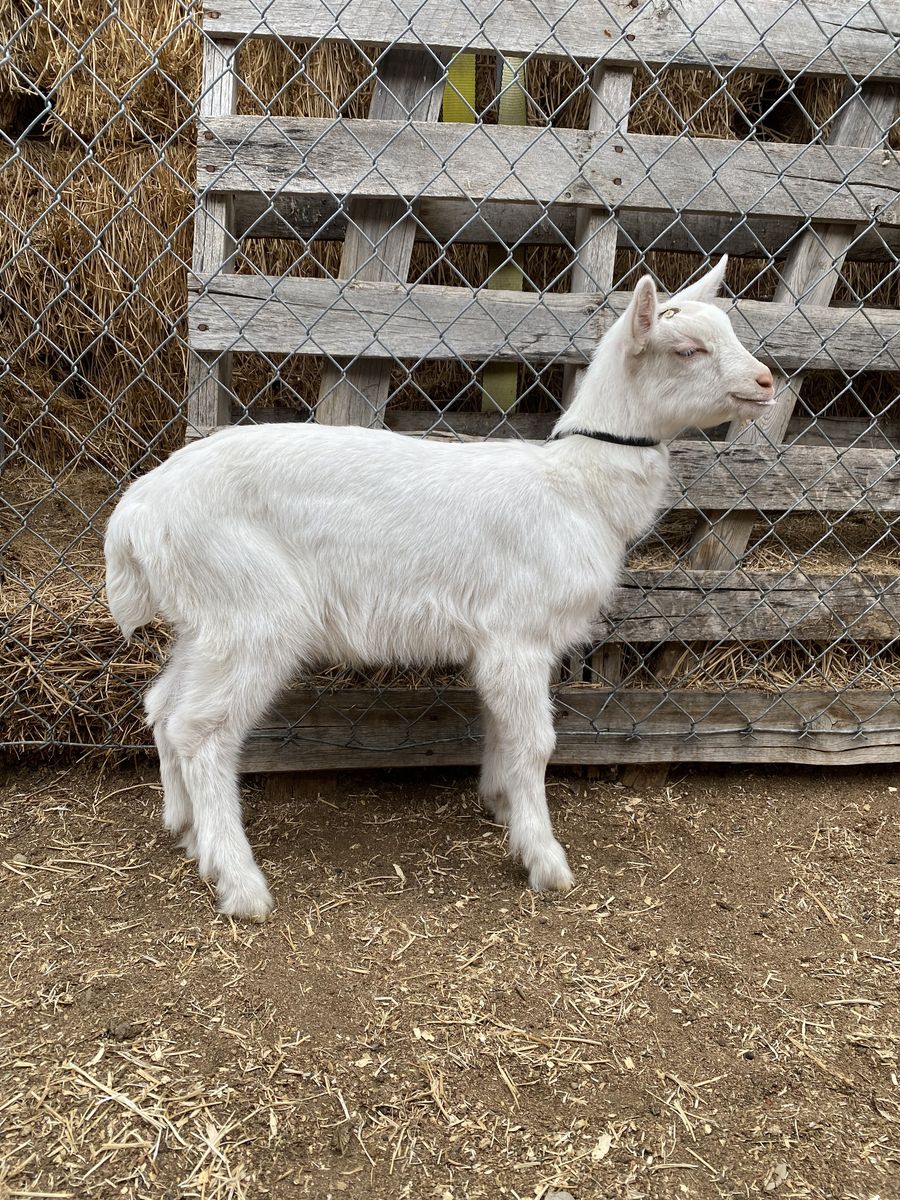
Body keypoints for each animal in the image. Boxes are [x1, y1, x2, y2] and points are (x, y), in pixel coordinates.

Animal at [105, 257, 774, 920]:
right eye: (687, 349)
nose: (766, 381)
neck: (575, 487)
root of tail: (135, 514)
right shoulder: (519, 633)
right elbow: (536, 741)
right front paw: (545, 860)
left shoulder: (501, 643)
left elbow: (503, 730)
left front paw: (501, 806)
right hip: (252, 612)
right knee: (201, 732)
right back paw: (240, 884)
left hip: (205, 618)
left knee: (164, 708)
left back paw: (185, 831)